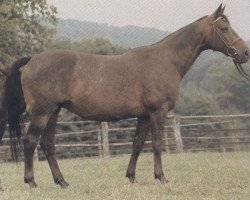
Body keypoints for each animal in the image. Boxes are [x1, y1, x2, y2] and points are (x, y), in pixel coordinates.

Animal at [0, 4, 250, 189]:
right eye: (224, 28)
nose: (245, 53)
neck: (165, 60)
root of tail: (32, 60)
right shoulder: (158, 112)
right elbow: (157, 144)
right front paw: (161, 177)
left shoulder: (144, 115)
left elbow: (137, 144)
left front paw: (131, 177)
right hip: (43, 112)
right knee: (30, 142)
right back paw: (32, 182)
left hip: (53, 112)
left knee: (48, 145)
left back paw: (62, 182)